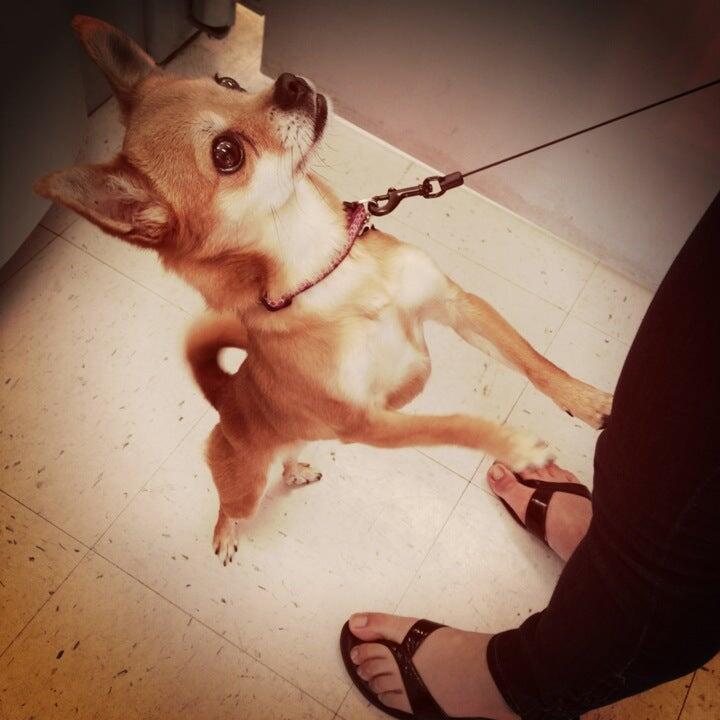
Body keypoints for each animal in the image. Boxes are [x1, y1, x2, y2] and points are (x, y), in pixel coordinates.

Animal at [36, 17, 613, 564]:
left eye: (228, 82)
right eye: (226, 153)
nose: (290, 81)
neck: (327, 267)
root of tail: (225, 397)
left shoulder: (457, 305)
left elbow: (534, 362)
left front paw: (588, 401)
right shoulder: (368, 423)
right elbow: (452, 425)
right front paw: (511, 446)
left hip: (299, 438)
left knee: (287, 458)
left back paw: (295, 471)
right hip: (245, 485)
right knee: (231, 505)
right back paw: (225, 534)